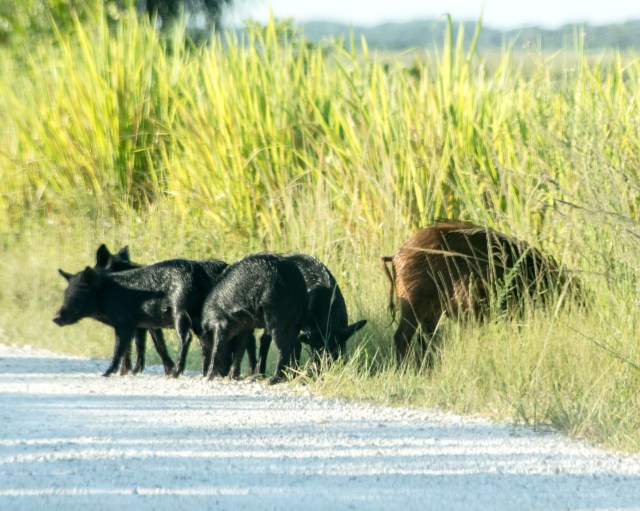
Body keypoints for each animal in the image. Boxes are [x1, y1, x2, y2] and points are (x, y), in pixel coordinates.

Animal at [54, 258, 227, 377]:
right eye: (66, 293)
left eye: (77, 295)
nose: (56, 318)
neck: (109, 295)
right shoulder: (145, 325)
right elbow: (153, 346)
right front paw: (132, 372)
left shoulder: (124, 323)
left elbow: (119, 347)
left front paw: (107, 373)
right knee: (204, 340)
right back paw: (201, 373)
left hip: (180, 310)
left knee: (186, 338)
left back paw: (177, 372)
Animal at [201, 253, 308, 384]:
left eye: (204, 347)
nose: (203, 373)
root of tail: (298, 283)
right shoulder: (245, 327)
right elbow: (240, 350)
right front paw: (232, 377)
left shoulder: (221, 324)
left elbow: (218, 349)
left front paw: (208, 378)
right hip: (295, 320)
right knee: (296, 344)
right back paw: (294, 376)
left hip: (275, 317)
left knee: (285, 347)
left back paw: (272, 380)